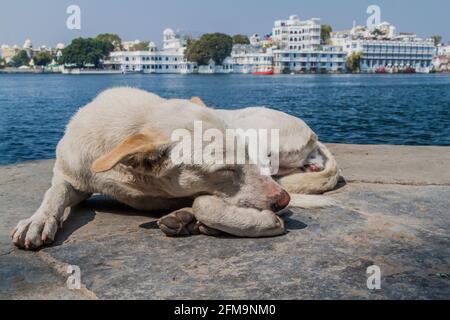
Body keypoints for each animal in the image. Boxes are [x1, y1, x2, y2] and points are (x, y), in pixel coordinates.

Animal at [11, 88, 338, 250]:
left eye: (243, 156)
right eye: (225, 169)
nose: (283, 200)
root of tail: (312, 134)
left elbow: (205, 202)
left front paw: (259, 222)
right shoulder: (71, 173)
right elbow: (54, 194)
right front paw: (38, 220)